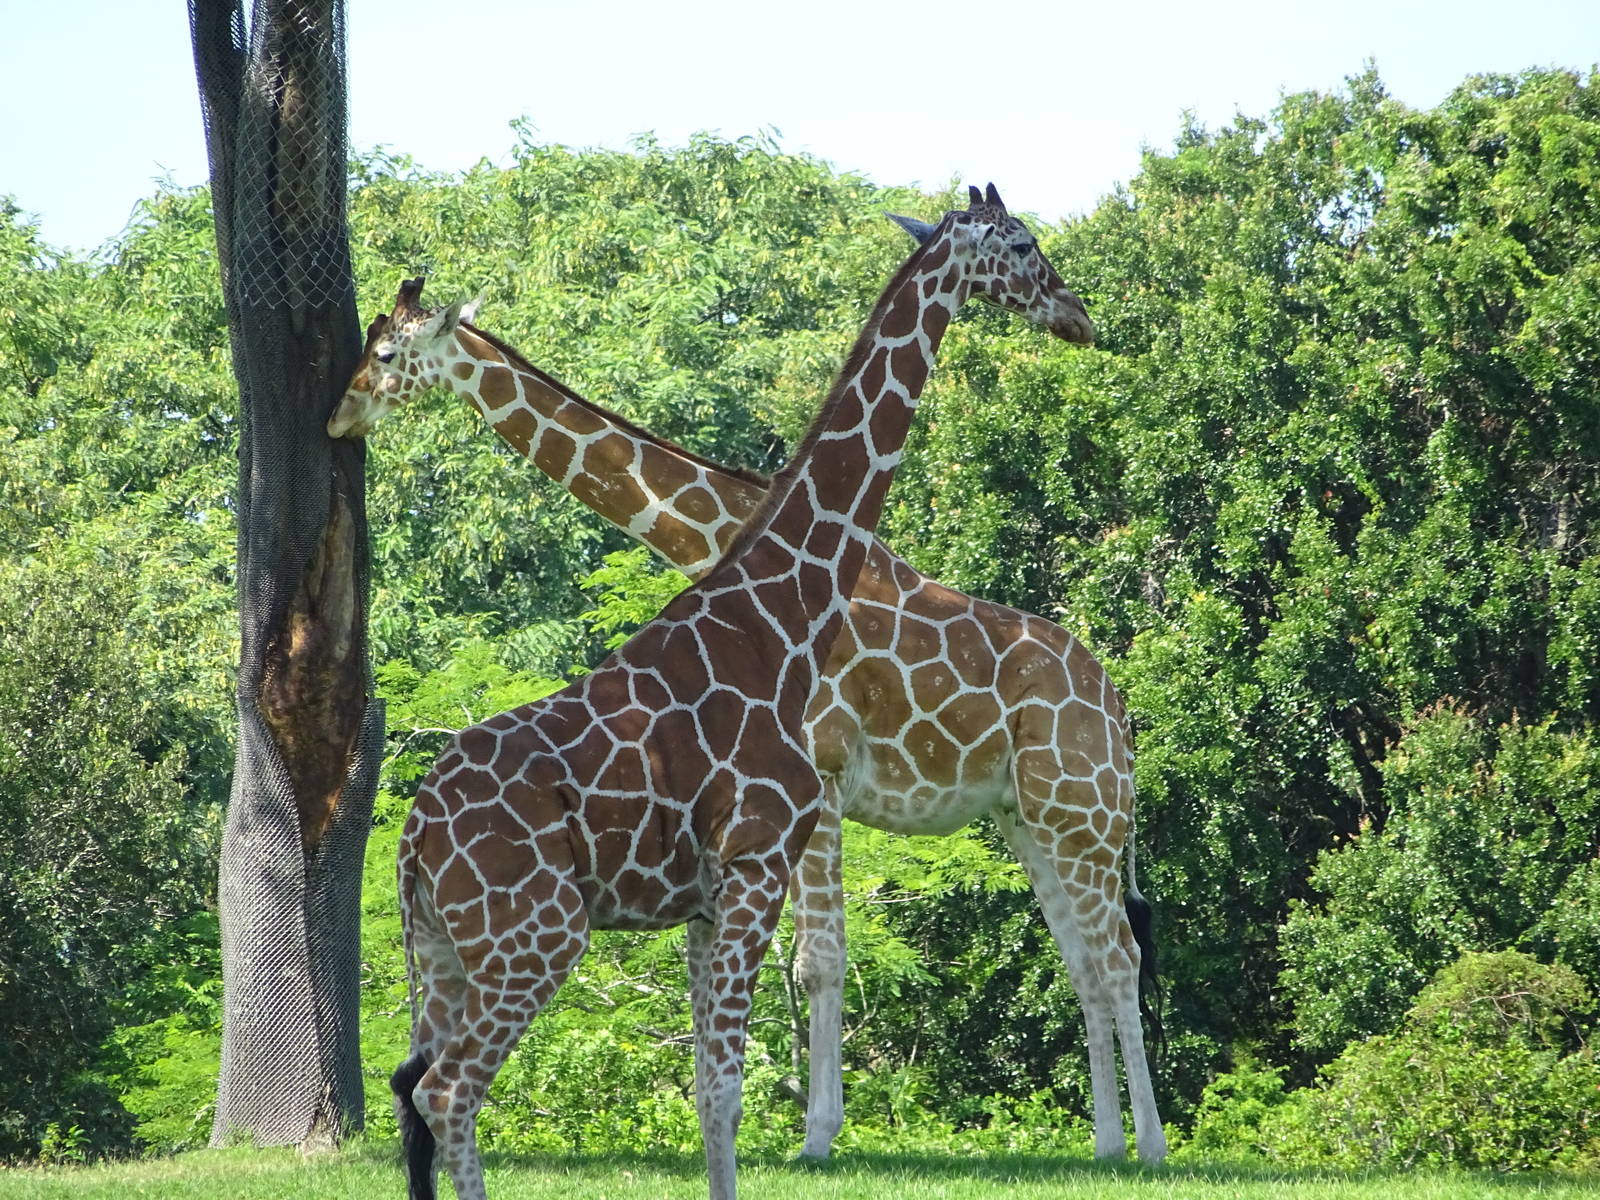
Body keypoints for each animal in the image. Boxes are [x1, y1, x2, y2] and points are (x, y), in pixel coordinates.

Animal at [333, 192, 1166, 1170]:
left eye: (387, 353)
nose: (1075, 316)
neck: (728, 538)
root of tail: (1115, 702)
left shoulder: (822, 780)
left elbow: (818, 963)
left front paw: (817, 1139)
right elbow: (808, 970)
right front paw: (816, 1136)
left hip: (1084, 814)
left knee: (1117, 956)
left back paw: (1150, 1149)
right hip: (1031, 818)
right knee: (1087, 961)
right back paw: (1109, 1146)